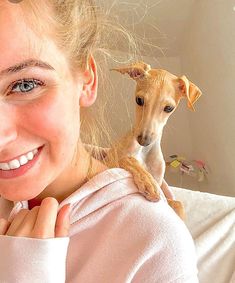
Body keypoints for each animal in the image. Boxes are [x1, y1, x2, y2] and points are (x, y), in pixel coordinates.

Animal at [104, 62, 202, 221]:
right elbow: (128, 159)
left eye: (169, 108)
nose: (143, 140)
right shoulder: (110, 162)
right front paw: (147, 182)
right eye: (139, 100)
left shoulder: (161, 183)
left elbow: (178, 204)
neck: (144, 153)